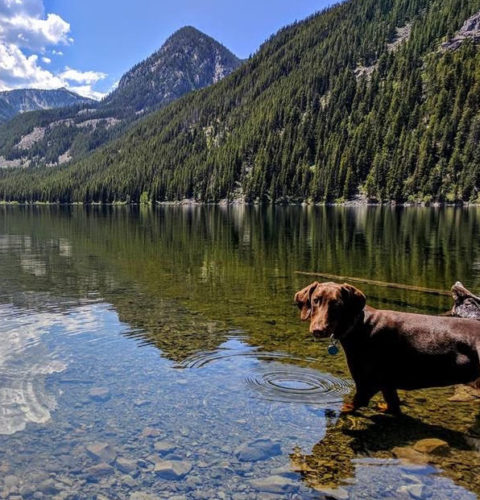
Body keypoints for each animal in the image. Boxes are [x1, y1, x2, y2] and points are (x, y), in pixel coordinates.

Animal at [292, 282, 480, 414]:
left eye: (337, 304)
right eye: (315, 300)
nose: (318, 330)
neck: (359, 325)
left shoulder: (367, 384)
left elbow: (348, 406)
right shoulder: (387, 385)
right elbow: (393, 406)